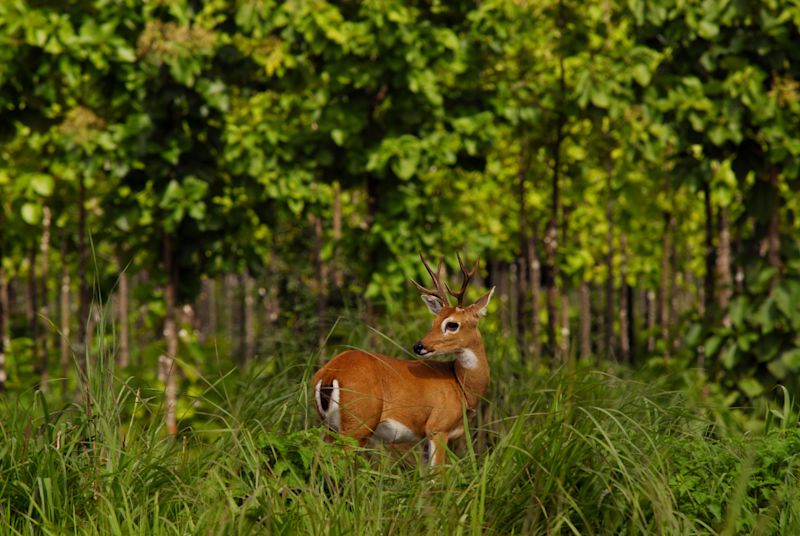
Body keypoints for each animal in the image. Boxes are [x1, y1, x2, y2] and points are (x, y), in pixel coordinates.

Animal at [312, 253, 494, 466]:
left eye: (452, 324)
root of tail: (329, 373)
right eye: (434, 321)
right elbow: (438, 473)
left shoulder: (424, 437)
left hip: (329, 425)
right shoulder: (438, 427)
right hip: (358, 423)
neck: (461, 385)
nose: (419, 346)